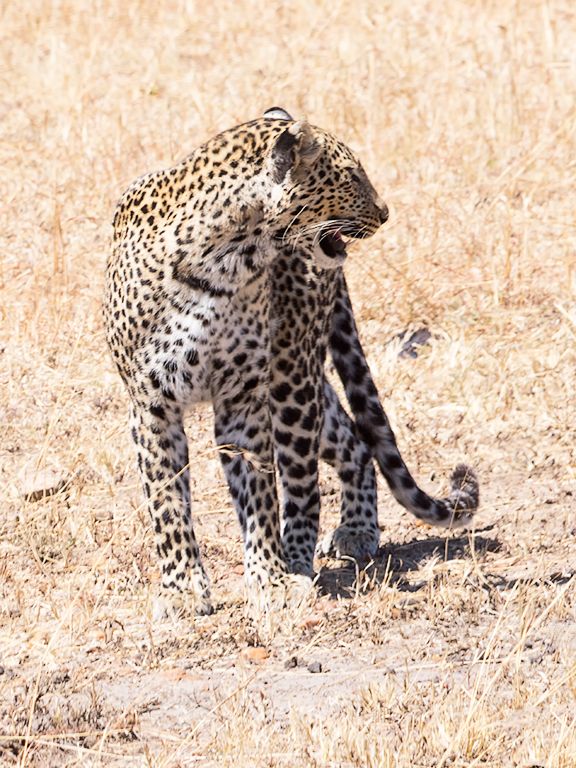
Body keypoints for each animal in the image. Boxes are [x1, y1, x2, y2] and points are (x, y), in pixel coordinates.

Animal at [105, 108, 478, 617]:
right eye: (352, 175)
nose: (385, 212)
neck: (222, 257)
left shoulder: (244, 398)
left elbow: (261, 494)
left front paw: (270, 578)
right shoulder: (151, 403)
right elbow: (167, 501)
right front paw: (182, 588)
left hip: (291, 376)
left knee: (309, 478)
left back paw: (308, 556)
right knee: (352, 439)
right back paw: (344, 536)